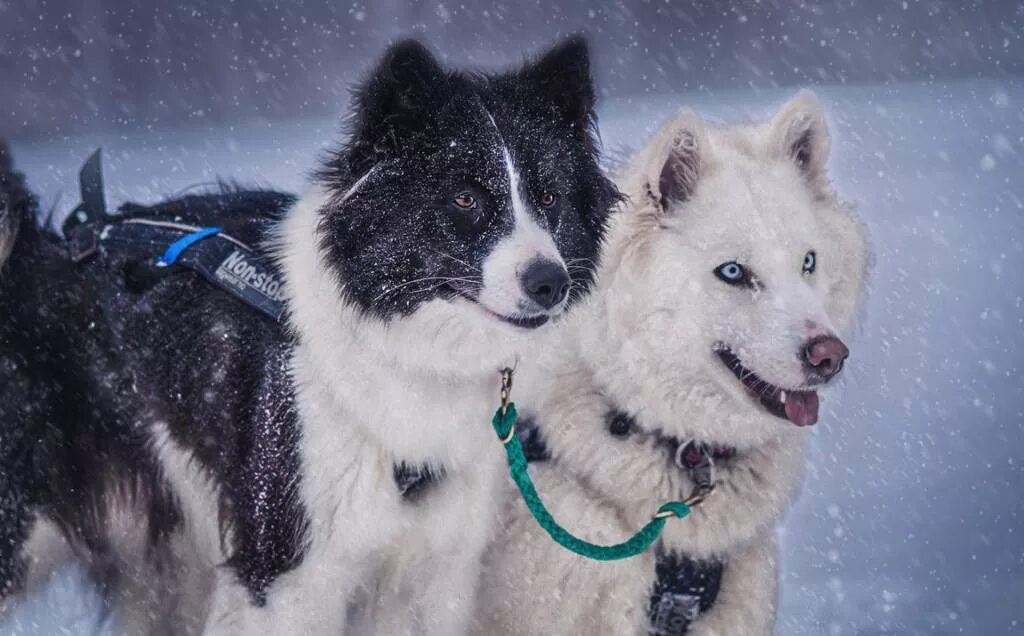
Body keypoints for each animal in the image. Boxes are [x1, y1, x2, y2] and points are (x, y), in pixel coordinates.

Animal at [0, 37, 614, 630]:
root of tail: (33, 252)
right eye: (466, 199)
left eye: (550, 197)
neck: (405, 353)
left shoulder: (433, 573)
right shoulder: (290, 575)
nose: (550, 282)